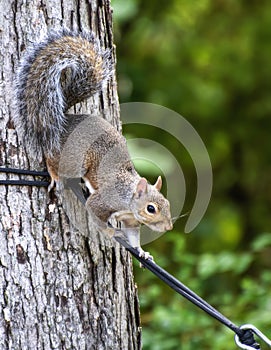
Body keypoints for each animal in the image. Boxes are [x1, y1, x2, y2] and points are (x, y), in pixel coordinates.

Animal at [12, 29, 173, 254]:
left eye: (167, 204)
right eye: (151, 208)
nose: (169, 227)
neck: (129, 199)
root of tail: (64, 121)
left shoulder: (131, 221)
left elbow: (133, 236)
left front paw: (142, 252)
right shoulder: (104, 200)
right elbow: (95, 213)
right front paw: (111, 232)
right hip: (74, 160)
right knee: (52, 159)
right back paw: (55, 175)